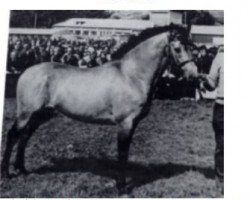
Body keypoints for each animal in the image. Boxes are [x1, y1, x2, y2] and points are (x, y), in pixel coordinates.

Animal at [1, 23, 197, 194]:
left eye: (191, 46)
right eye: (178, 48)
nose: (193, 73)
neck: (131, 76)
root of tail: (27, 72)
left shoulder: (132, 124)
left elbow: (125, 153)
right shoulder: (124, 123)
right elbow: (122, 153)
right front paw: (121, 188)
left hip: (41, 114)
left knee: (25, 137)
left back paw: (22, 170)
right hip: (26, 113)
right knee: (13, 136)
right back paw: (7, 174)